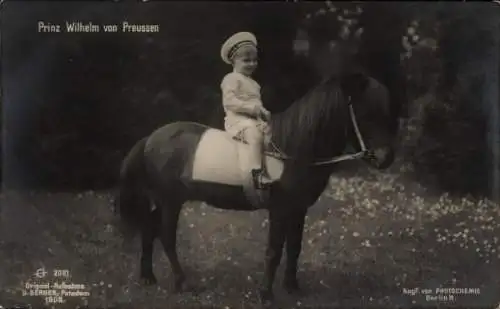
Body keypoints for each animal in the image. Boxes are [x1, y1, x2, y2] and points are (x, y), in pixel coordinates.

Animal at [115, 67, 396, 300]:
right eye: (366, 113)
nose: (386, 159)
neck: (294, 148)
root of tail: (150, 138)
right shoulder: (279, 210)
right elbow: (274, 251)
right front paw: (266, 294)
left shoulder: (298, 209)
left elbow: (294, 247)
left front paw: (292, 287)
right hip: (170, 201)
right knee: (166, 236)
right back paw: (183, 282)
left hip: (163, 201)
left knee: (149, 229)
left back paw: (148, 277)